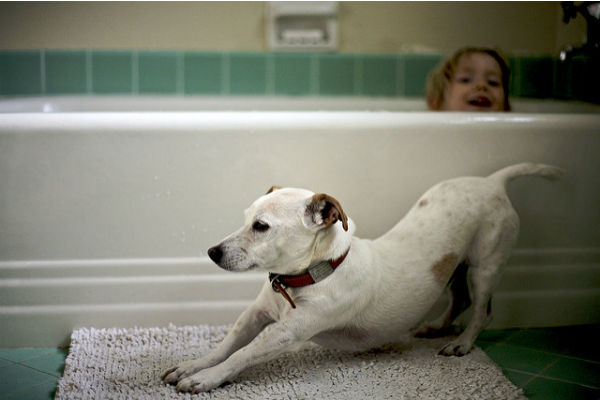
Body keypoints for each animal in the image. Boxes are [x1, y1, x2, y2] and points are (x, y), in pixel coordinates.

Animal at [161, 163, 564, 394]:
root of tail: (493, 182)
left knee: (482, 310)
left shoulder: (287, 332)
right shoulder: (256, 314)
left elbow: (242, 354)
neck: (308, 276)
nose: (212, 252)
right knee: (458, 300)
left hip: (485, 268)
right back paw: (436, 327)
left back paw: (461, 343)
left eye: (261, 227)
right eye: (245, 218)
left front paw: (207, 379)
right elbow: (227, 344)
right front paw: (195, 365)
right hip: (455, 268)